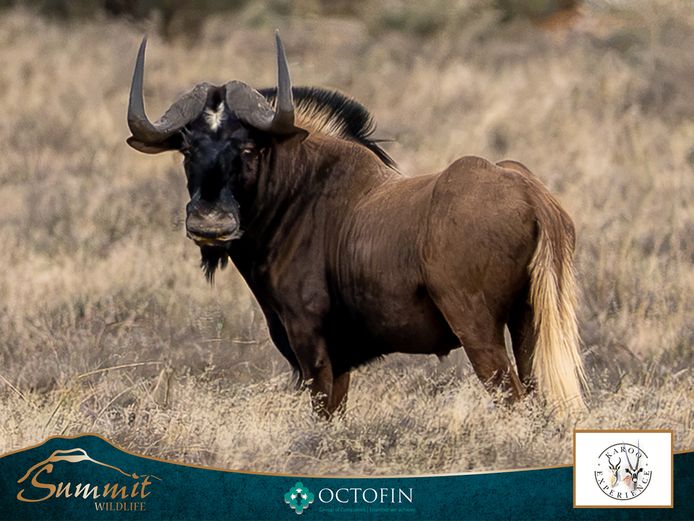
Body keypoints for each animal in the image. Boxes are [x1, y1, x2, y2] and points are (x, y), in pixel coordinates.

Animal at [126, 33, 587, 417]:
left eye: (249, 147)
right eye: (187, 148)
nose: (210, 223)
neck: (299, 193)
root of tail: (531, 194)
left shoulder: (311, 344)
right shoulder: (339, 360)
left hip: (479, 330)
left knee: (515, 400)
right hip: (527, 327)